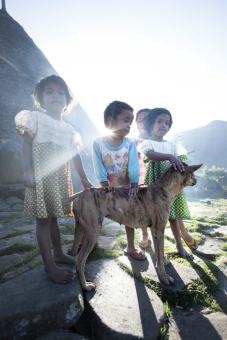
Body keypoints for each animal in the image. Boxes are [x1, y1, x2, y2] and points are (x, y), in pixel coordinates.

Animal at [66, 163, 202, 290]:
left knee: (73, 254)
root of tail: (80, 194)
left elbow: (160, 253)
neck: (164, 189)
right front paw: (165, 278)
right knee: (79, 260)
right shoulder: (158, 230)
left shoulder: (155, 231)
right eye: (192, 174)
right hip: (93, 232)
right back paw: (86, 286)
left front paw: (164, 261)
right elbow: (159, 258)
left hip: (79, 228)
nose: (196, 180)